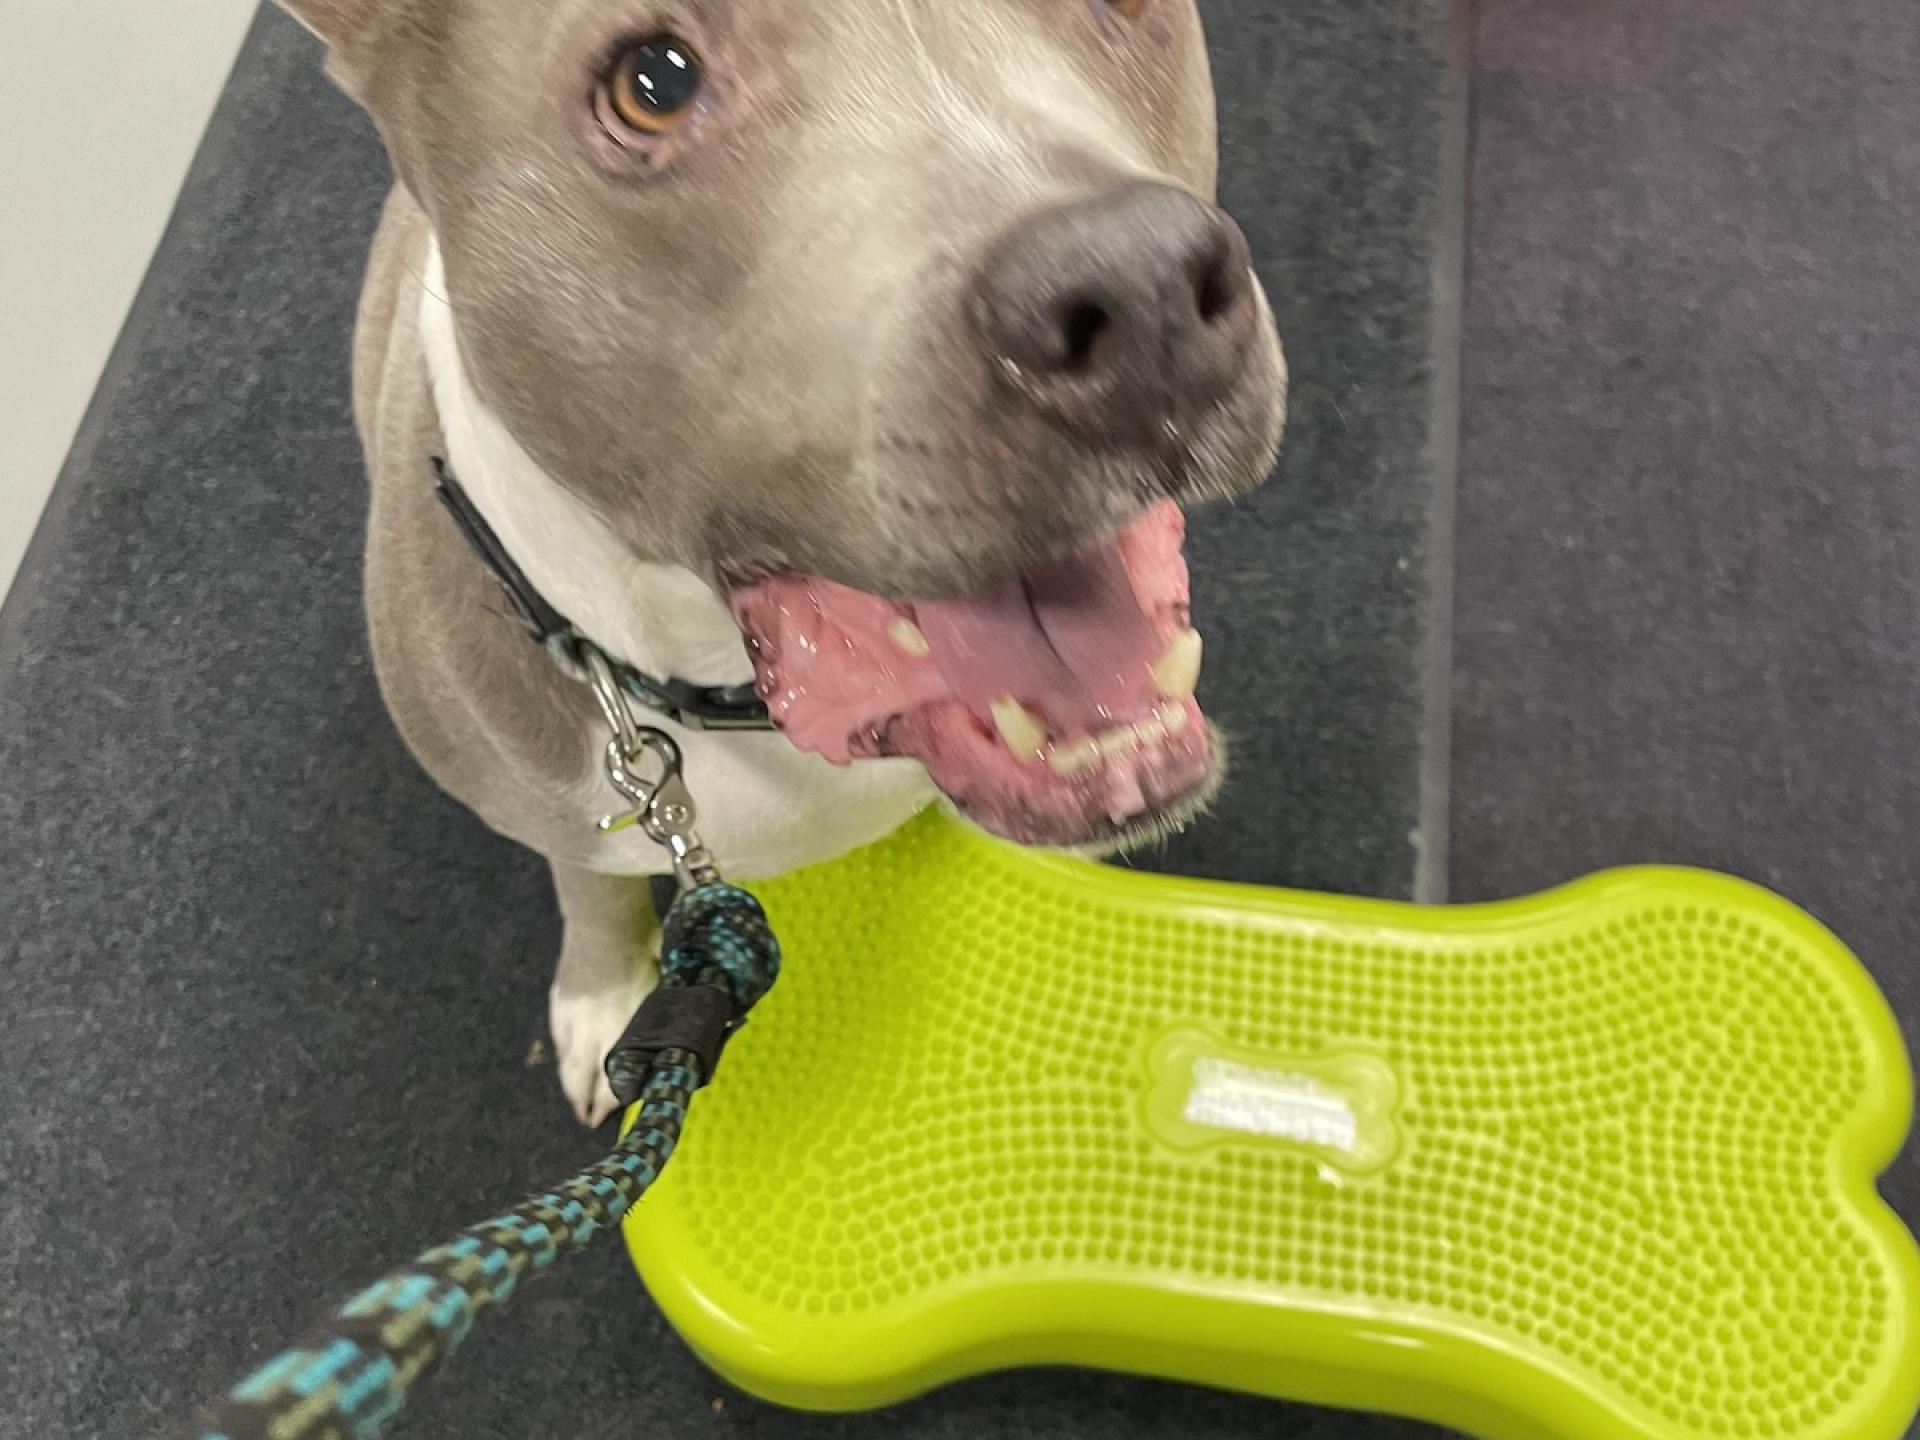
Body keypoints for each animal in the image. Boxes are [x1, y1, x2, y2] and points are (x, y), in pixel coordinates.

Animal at [280, 0, 1290, 1128]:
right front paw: (600, 997)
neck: (724, 694)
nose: (1139, 288)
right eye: (652, 83)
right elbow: (586, 879)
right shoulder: (545, 801)